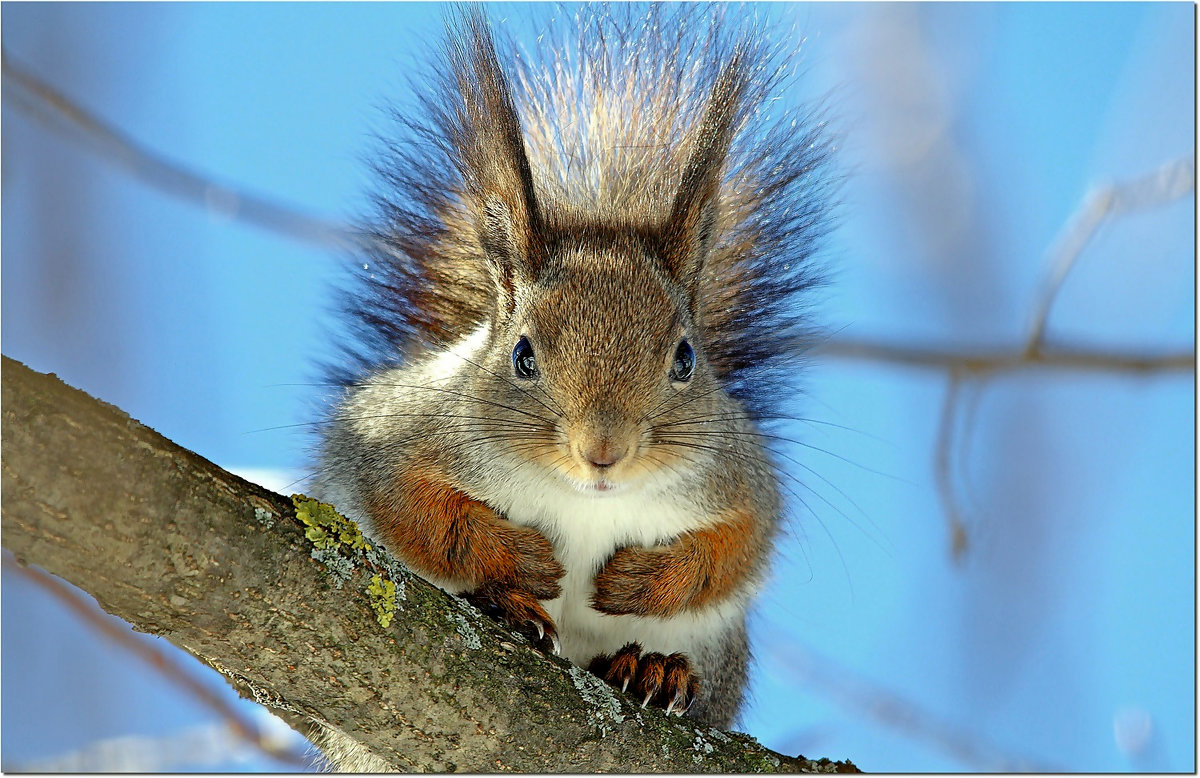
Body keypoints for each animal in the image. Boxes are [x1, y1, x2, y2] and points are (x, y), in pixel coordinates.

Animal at [309, 1, 835, 763]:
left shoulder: (737, 474)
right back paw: (509, 609)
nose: (602, 452)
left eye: (685, 359)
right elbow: (411, 508)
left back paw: (654, 669)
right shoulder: (397, 437)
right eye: (523, 356)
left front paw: (650, 579)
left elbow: (740, 544)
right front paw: (516, 560)